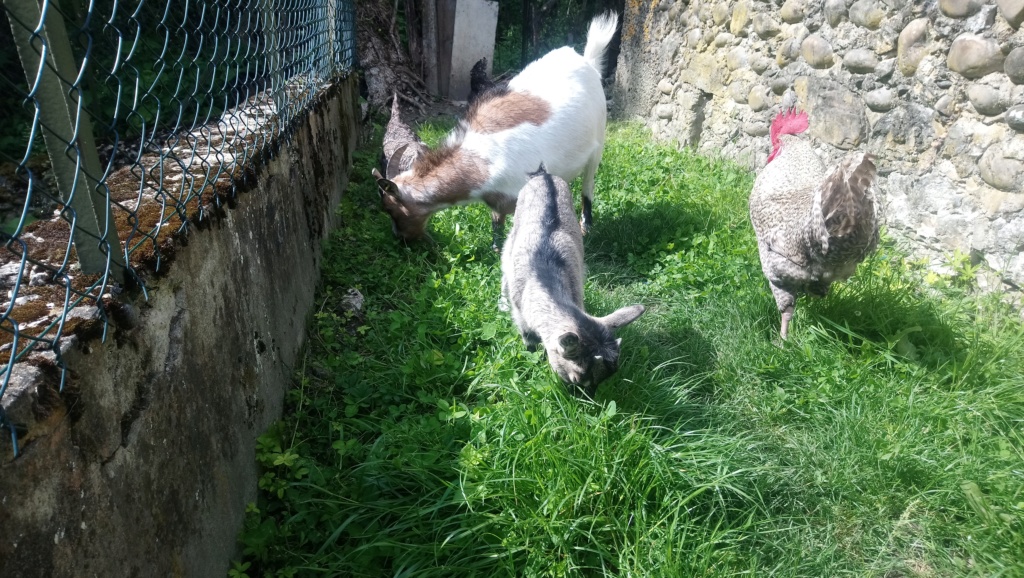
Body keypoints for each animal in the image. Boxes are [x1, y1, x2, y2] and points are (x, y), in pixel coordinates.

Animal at [372, 11, 618, 245]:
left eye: (390, 209)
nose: (401, 238)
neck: (481, 159)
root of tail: (587, 62)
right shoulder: (498, 200)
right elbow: (496, 222)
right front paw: (495, 248)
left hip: (598, 143)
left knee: (588, 185)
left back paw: (586, 226)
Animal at [499, 164, 643, 395]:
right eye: (576, 377)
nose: (588, 398)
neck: (544, 280)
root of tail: (544, 175)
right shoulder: (521, 315)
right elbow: (529, 341)